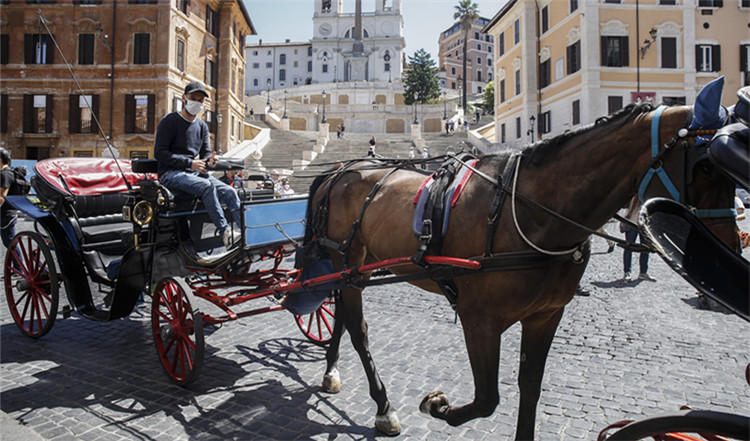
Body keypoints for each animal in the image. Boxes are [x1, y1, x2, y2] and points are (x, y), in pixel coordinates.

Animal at [302, 102, 736, 436]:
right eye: (705, 166)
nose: (727, 254)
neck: (527, 210)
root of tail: (338, 171)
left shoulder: (546, 315)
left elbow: (529, 389)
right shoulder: (479, 319)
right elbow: (487, 399)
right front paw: (437, 405)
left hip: (352, 269)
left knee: (339, 315)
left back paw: (331, 371)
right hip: (347, 260)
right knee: (358, 328)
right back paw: (383, 406)